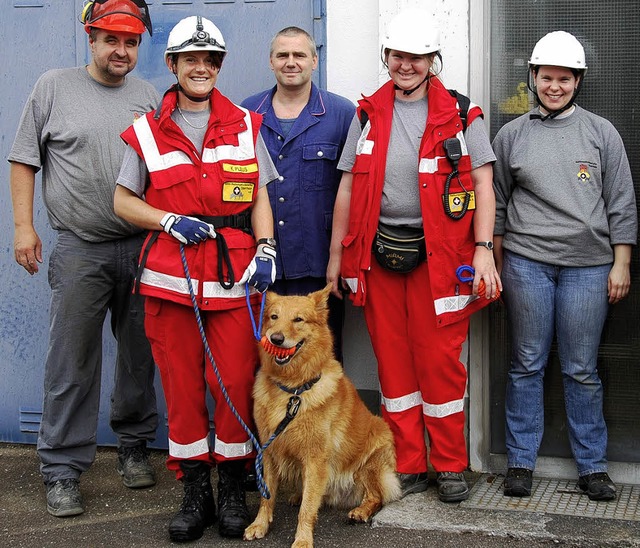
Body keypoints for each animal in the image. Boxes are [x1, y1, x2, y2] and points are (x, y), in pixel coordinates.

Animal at [242, 286, 398, 548]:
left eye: (298, 319)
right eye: (273, 317)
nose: (276, 339)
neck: (293, 389)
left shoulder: (315, 458)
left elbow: (307, 509)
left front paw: (303, 539)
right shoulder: (269, 451)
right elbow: (267, 496)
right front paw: (260, 525)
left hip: (370, 460)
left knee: (377, 495)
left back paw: (360, 511)